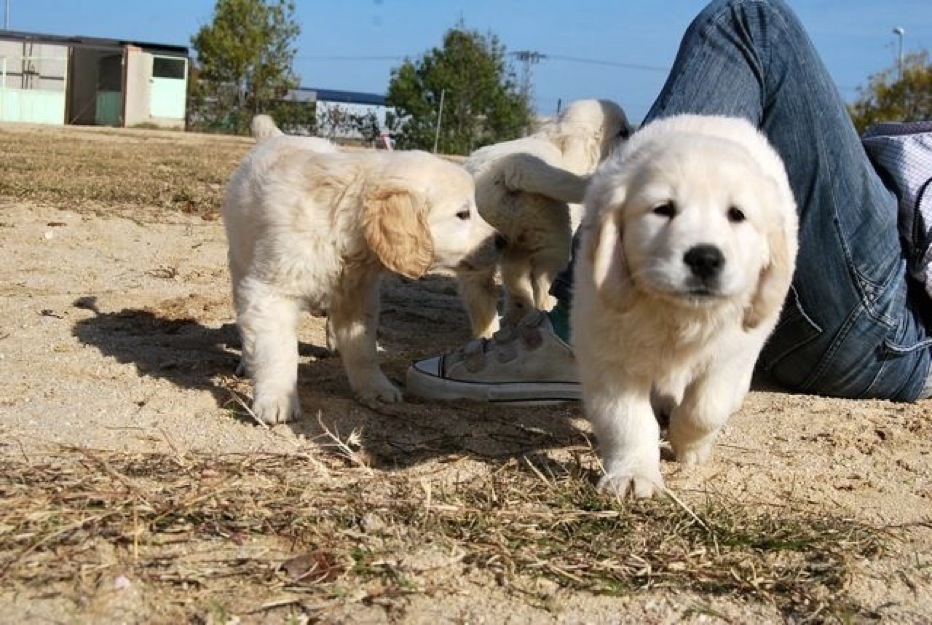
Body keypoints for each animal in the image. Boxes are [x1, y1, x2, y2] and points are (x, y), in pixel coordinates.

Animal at [224, 117, 502, 424]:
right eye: (463, 214)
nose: (502, 241)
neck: (340, 224)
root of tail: (277, 137)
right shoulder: (271, 292)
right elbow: (276, 349)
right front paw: (277, 399)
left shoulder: (359, 294)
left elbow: (364, 349)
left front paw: (375, 387)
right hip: (240, 264)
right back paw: (245, 362)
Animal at [456, 98, 628, 338]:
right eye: (623, 132)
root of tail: (508, 171)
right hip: (555, 235)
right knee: (542, 278)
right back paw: (545, 306)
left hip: (483, 246)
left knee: (481, 290)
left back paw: (490, 332)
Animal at [572, 114, 796, 498]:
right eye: (663, 209)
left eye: (737, 214)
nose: (705, 258)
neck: (679, 315)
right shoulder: (607, 352)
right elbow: (626, 421)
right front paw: (633, 474)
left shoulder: (731, 352)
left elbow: (705, 409)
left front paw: (689, 446)